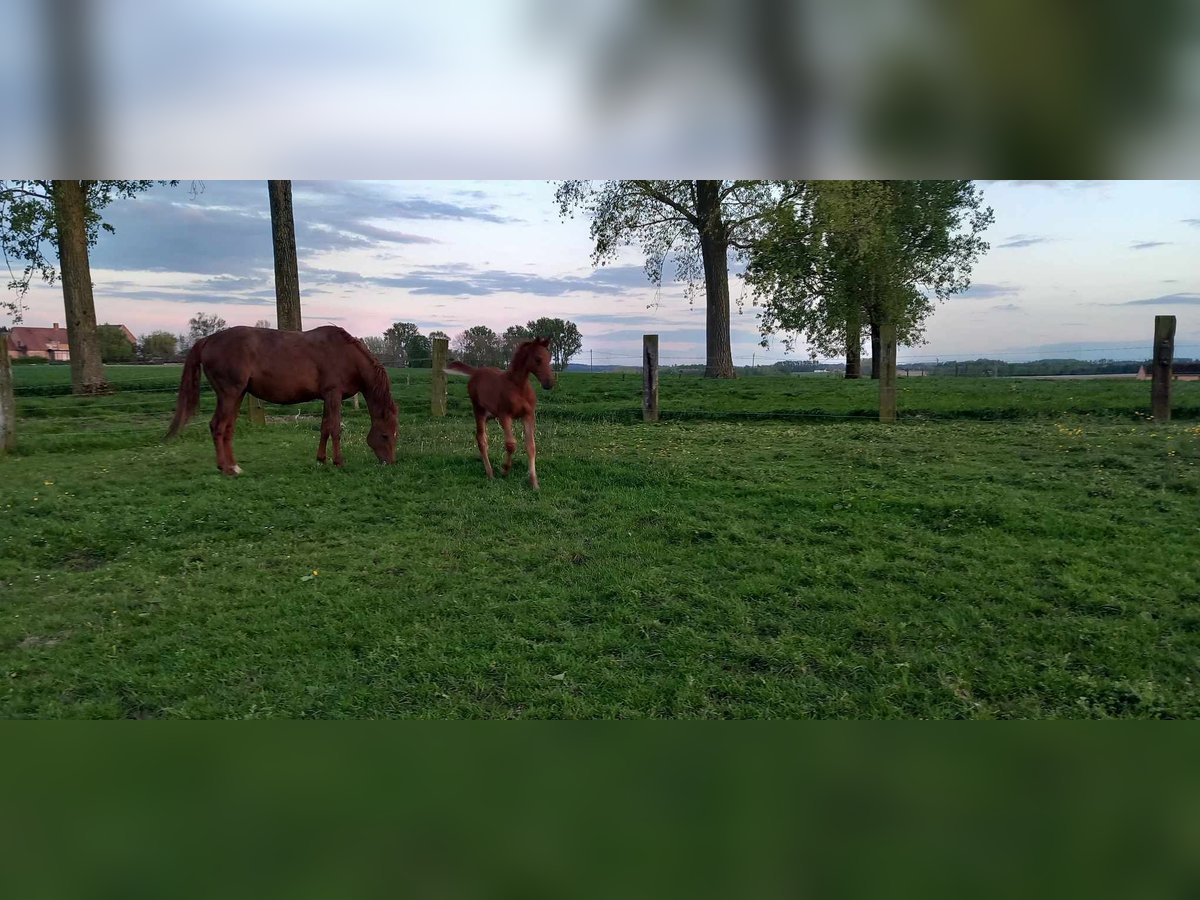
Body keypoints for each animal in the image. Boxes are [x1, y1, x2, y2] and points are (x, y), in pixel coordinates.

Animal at [166, 326, 398, 480]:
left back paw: (235, 466)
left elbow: (324, 428)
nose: (389, 463)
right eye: (385, 435)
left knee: (228, 428)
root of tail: (208, 340)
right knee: (218, 426)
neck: (346, 355)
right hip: (229, 394)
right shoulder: (334, 395)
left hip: (237, 395)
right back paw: (226, 469)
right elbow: (334, 429)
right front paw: (338, 462)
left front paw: (321, 460)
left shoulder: (327, 397)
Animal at [446, 338, 556, 494]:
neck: (519, 387)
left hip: (490, 415)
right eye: (538, 359)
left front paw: (534, 483)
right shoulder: (505, 416)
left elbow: (531, 446)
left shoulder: (528, 416)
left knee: (484, 437)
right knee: (481, 439)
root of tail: (476, 371)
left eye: (550, 358)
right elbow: (511, 444)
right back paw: (490, 473)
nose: (549, 383)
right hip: (478, 410)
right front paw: (504, 470)